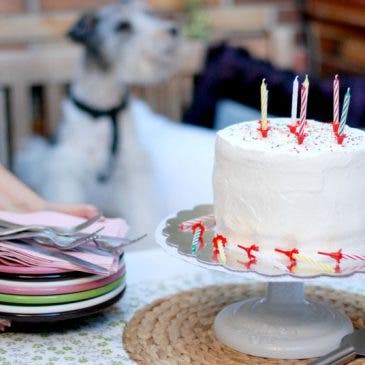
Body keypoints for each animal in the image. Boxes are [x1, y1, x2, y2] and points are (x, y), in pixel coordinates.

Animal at [15, 1, 179, 235]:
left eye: (149, 13)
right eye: (123, 26)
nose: (172, 30)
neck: (104, 109)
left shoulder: (132, 170)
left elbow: (142, 213)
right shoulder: (68, 168)